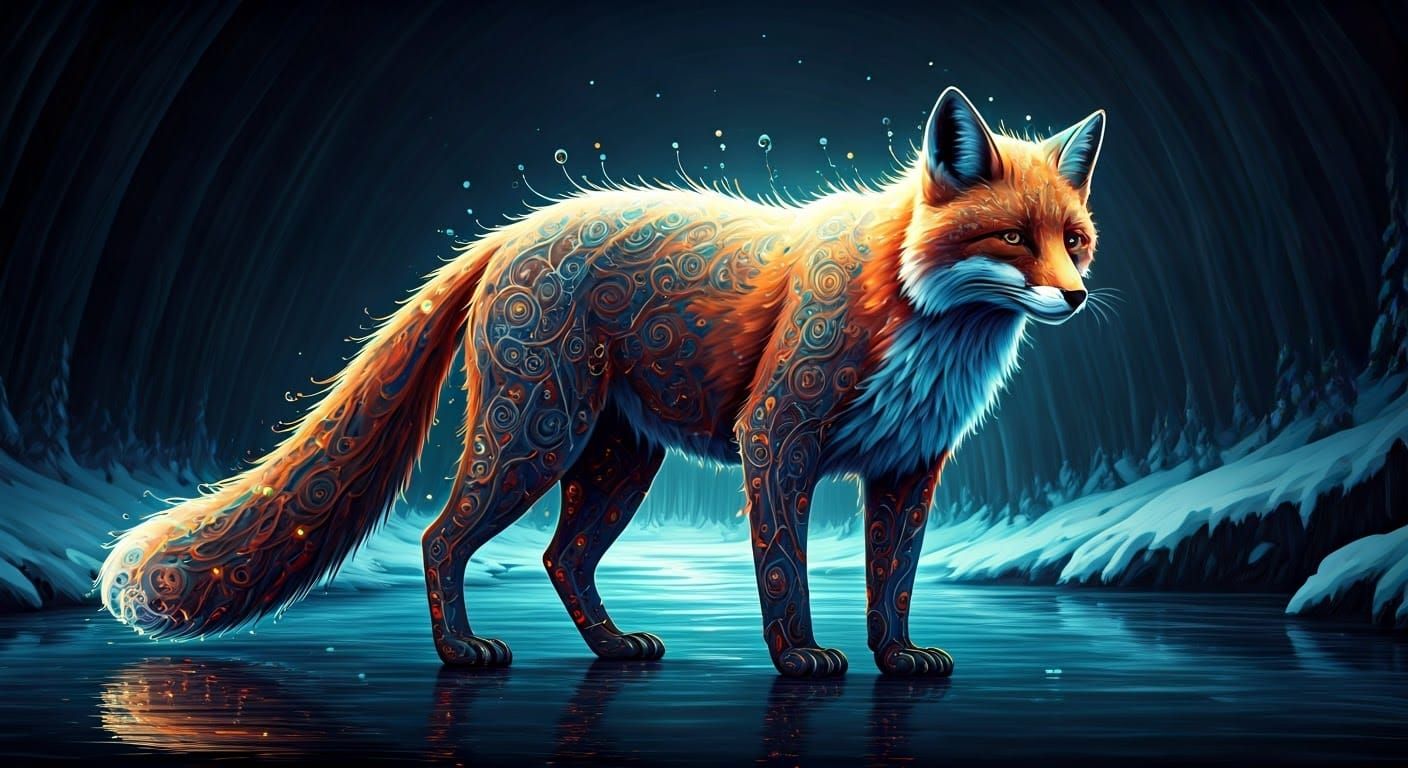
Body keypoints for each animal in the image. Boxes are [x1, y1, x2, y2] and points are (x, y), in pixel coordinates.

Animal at [99, 87, 1106, 678]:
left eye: (1075, 239)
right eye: (1011, 239)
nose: (1075, 296)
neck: (922, 318)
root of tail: (516, 229)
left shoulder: (908, 469)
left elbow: (891, 582)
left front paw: (895, 659)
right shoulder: (777, 441)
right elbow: (785, 569)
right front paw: (801, 658)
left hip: (616, 462)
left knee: (561, 558)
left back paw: (614, 648)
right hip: (533, 438)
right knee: (439, 537)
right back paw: (460, 650)